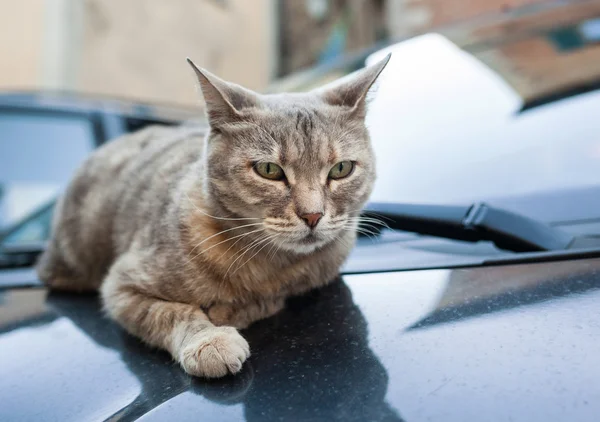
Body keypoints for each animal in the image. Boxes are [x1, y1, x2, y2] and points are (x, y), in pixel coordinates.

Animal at [38, 53, 394, 380]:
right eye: (269, 170)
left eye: (341, 169)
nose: (313, 214)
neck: (268, 264)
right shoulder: (121, 286)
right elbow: (170, 312)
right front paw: (208, 339)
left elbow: (273, 298)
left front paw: (237, 309)